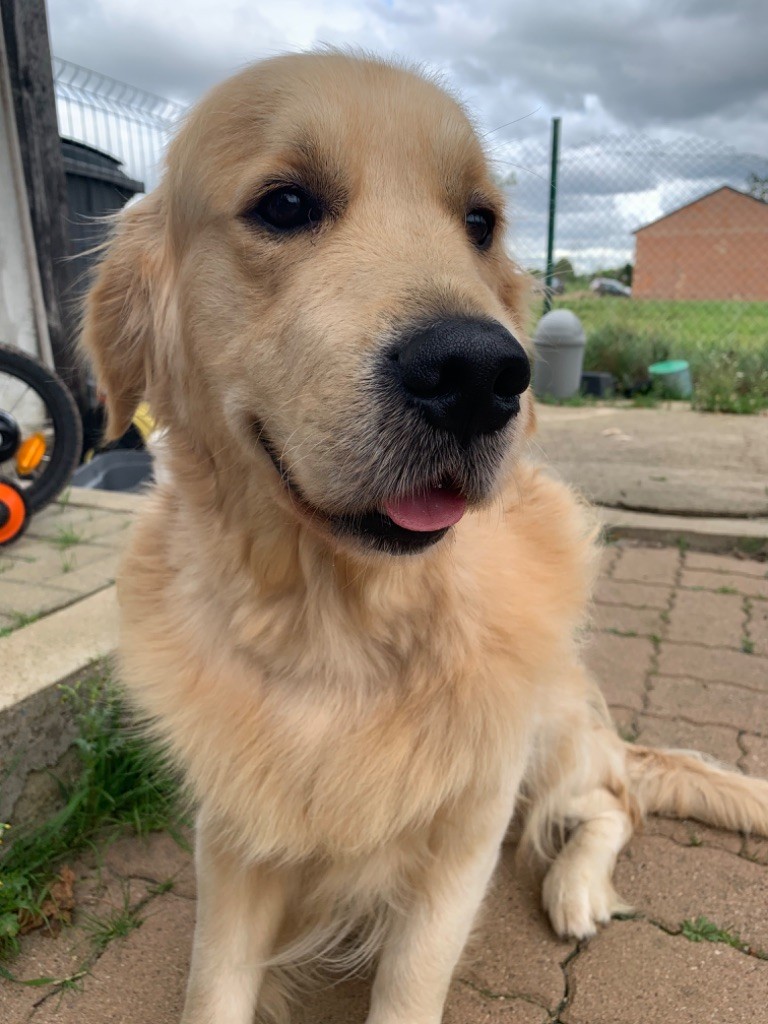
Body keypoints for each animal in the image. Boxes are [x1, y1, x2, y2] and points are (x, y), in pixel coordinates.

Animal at [80, 52, 768, 1024]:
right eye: (284, 205)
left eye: (480, 222)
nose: (481, 374)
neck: (341, 629)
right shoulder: (233, 833)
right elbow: (215, 986)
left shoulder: (468, 830)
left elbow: (411, 984)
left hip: (556, 727)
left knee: (614, 800)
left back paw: (575, 889)